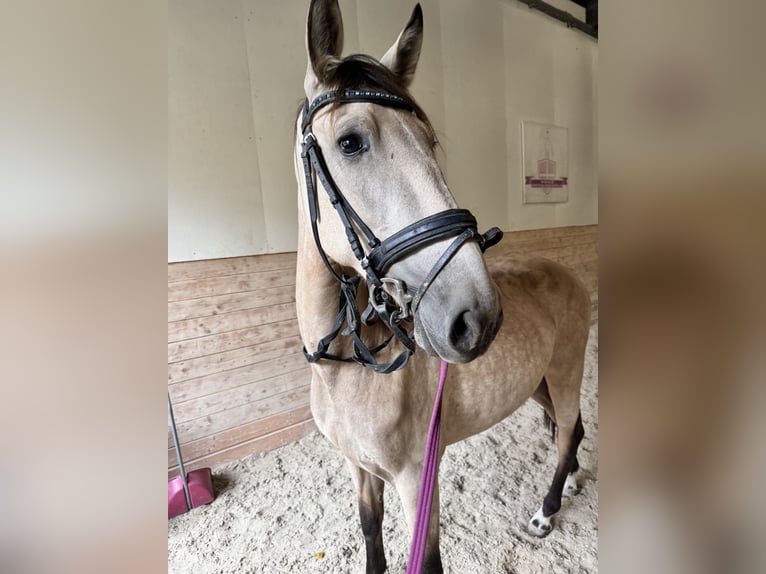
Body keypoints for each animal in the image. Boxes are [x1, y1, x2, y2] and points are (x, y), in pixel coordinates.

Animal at [294, 2, 592, 572]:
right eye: (350, 142)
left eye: (429, 141)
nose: (477, 317)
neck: (345, 371)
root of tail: (567, 272)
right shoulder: (360, 469)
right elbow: (370, 530)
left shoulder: (417, 481)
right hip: (539, 382)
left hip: (565, 374)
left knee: (568, 431)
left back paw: (546, 511)